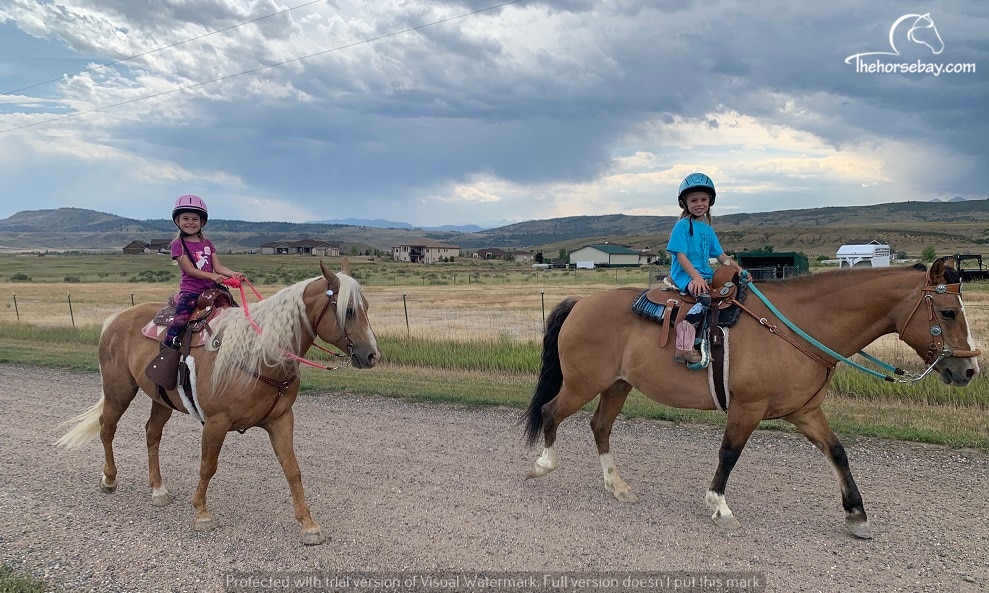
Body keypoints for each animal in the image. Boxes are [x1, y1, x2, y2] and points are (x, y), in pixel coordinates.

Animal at [56, 260, 380, 545]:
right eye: (349, 310)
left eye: (365, 307)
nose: (372, 355)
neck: (260, 354)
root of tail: (116, 319)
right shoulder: (216, 423)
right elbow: (207, 466)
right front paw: (201, 513)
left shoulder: (281, 420)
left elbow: (292, 469)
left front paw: (309, 525)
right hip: (119, 390)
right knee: (107, 428)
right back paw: (109, 479)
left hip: (161, 399)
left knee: (151, 433)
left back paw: (158, 489)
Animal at [522, 259, 981, 538]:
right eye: (947, 312)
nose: (970, 370)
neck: (796, 327)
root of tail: (582, 302)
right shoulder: (748, 407)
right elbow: (729, 453)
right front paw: (719, 506)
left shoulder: (805, 410)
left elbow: (837, 451)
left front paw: (856, 514)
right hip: (584, 383)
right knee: (551, 412)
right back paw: (543, 465)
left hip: (617, 385)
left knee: (599, 426)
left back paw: (617, 486)